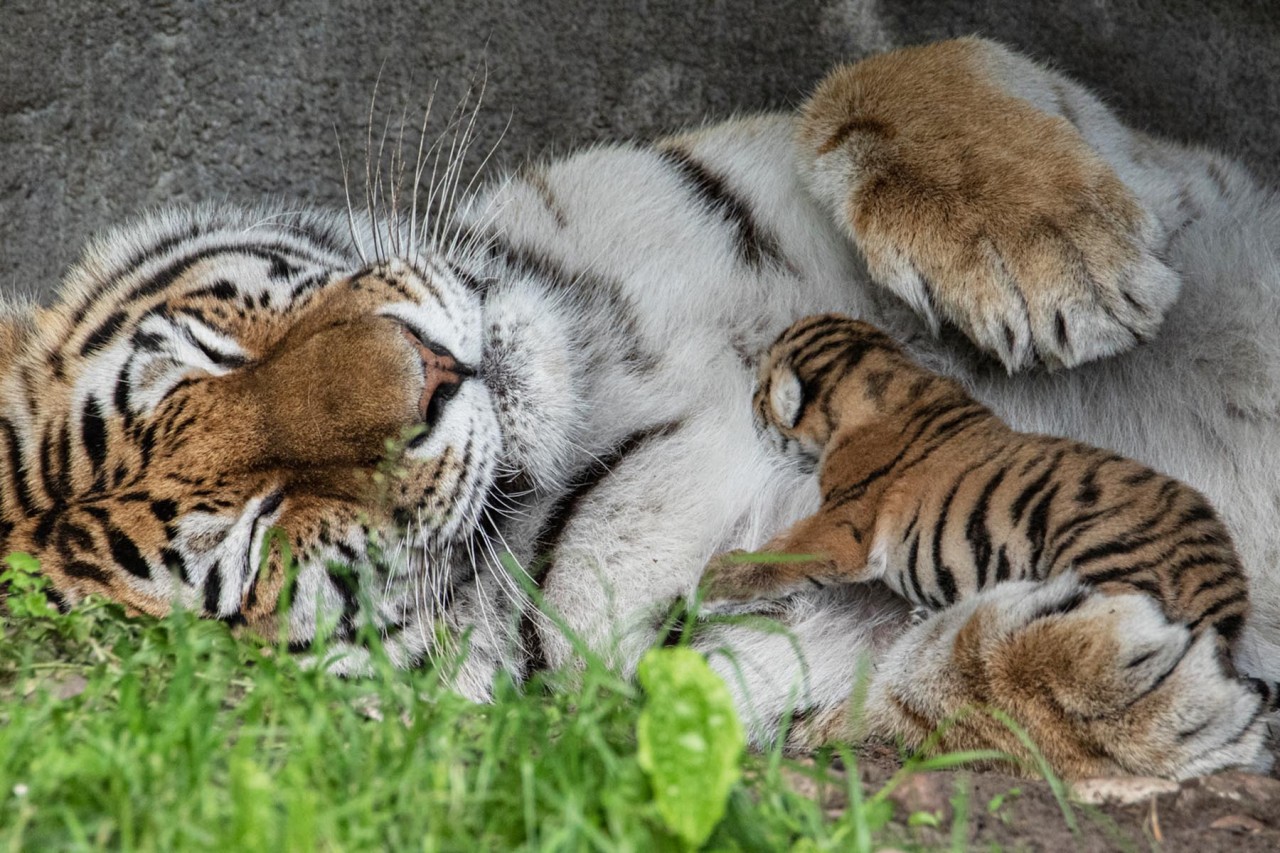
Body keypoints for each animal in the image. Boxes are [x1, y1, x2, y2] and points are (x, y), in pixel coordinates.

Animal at [701, 312, 1249, 650]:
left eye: (760, 391)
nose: (750, 404)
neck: (883, 375)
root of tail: (1222, 584)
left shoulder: (844, 526)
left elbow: (784, 552)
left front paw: (715, 581)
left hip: (1100, 558)